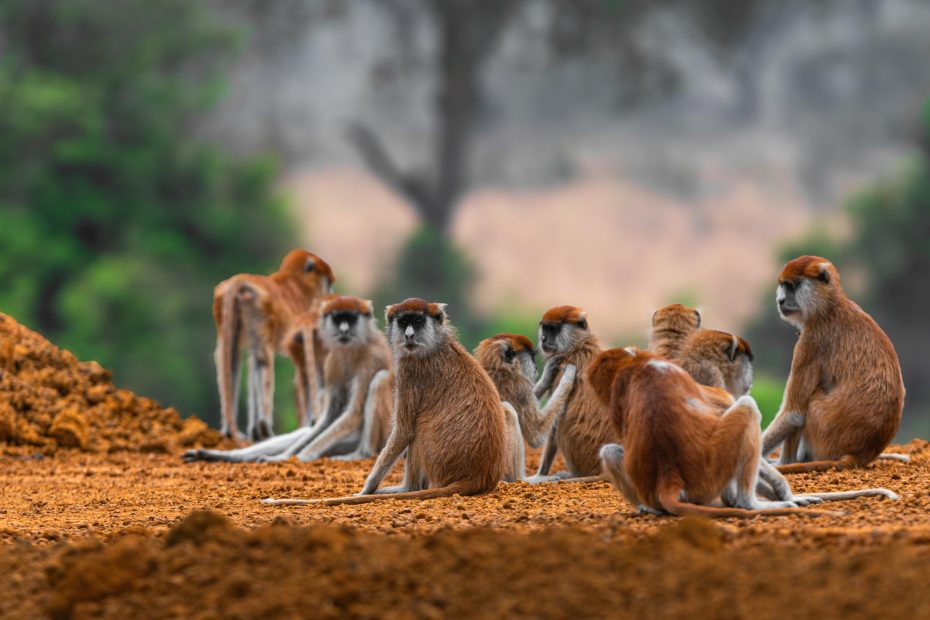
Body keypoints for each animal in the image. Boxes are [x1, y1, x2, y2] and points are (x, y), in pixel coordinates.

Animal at [185, 296, 392, 463]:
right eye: (337, 318)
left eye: (351, 318)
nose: (344, 330)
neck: (353, 348)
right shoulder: (333, 361)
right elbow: (328, 417)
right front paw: (284, 455)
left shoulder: (371, 359)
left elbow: (354, 412)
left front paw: (301, 456)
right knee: (305, 432)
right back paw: (224, 455)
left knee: (380, 380)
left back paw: (362, 454)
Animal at [213, 249, 335, 440]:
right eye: (328, 282)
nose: (330, 293)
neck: (299, 284)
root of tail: (242, 281)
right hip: (259, 310)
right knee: (263, 361)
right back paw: (265, 429)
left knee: (231, 356)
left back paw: (232, 430)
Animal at [262, 298, 510, 506]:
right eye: (403, 321)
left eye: (418, 321)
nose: (409, 335)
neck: (437, 344)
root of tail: (477, 477)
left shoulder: (410, 370)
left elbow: (404, 431)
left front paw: (367, 489)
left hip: (439, 465)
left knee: (418, 429)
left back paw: (406, 488)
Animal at [589, 348, 893, 518]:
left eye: (603, 383)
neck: (637, 365)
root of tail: (669, 478)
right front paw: (785, 494)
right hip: (712, 472)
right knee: (747, 409)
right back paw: (748, 504)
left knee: (611, 451)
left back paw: (650, 508)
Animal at [761, 256, 909, 473]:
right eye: (782, 285)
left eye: (792, 285)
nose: (780, 300)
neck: (828, 307)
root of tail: (862, 454)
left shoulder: (811, 341)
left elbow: (793, 415)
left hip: (827, 433)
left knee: (811, 401)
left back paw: (786, 462)